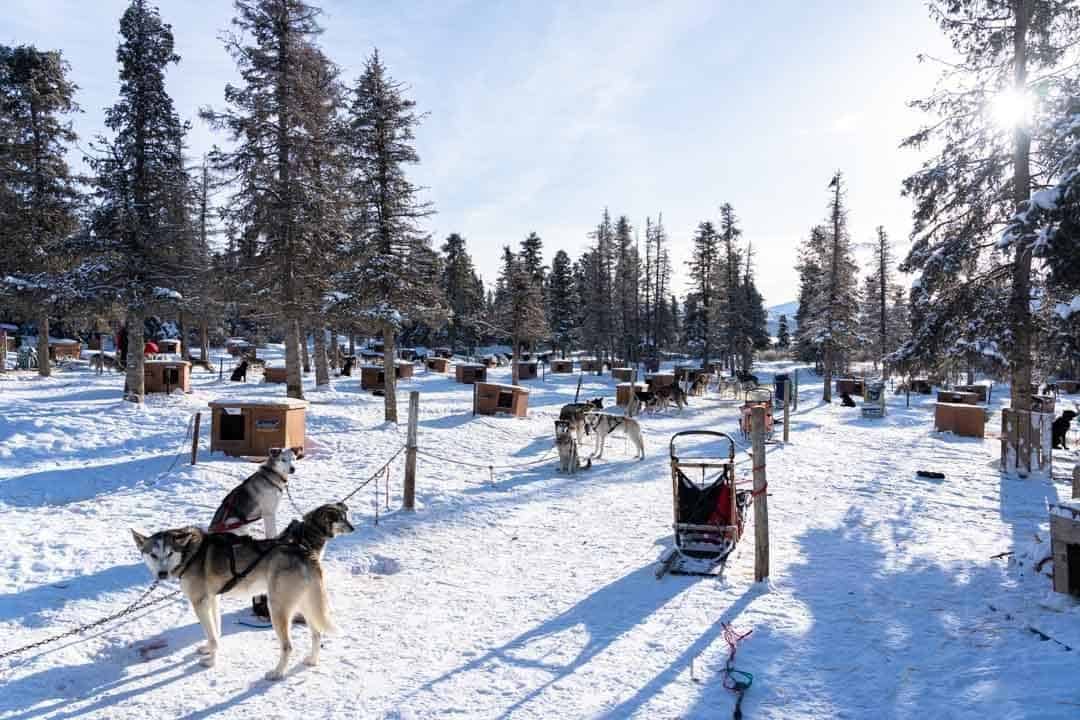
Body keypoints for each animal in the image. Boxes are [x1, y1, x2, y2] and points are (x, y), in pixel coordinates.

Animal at [132, 505, 354, 677]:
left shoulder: (199, 603)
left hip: (278, 608)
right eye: (153, 555)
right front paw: (209, 650)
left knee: (288, 646)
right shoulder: (212, 600)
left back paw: (277, 673)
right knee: (317, 634)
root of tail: (304, 552)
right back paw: (312, 660)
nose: (161, 574)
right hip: (305, 605)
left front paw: (211, 662)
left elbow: (212, 635)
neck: (191, 552)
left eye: (170, 553)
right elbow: (215, 632)